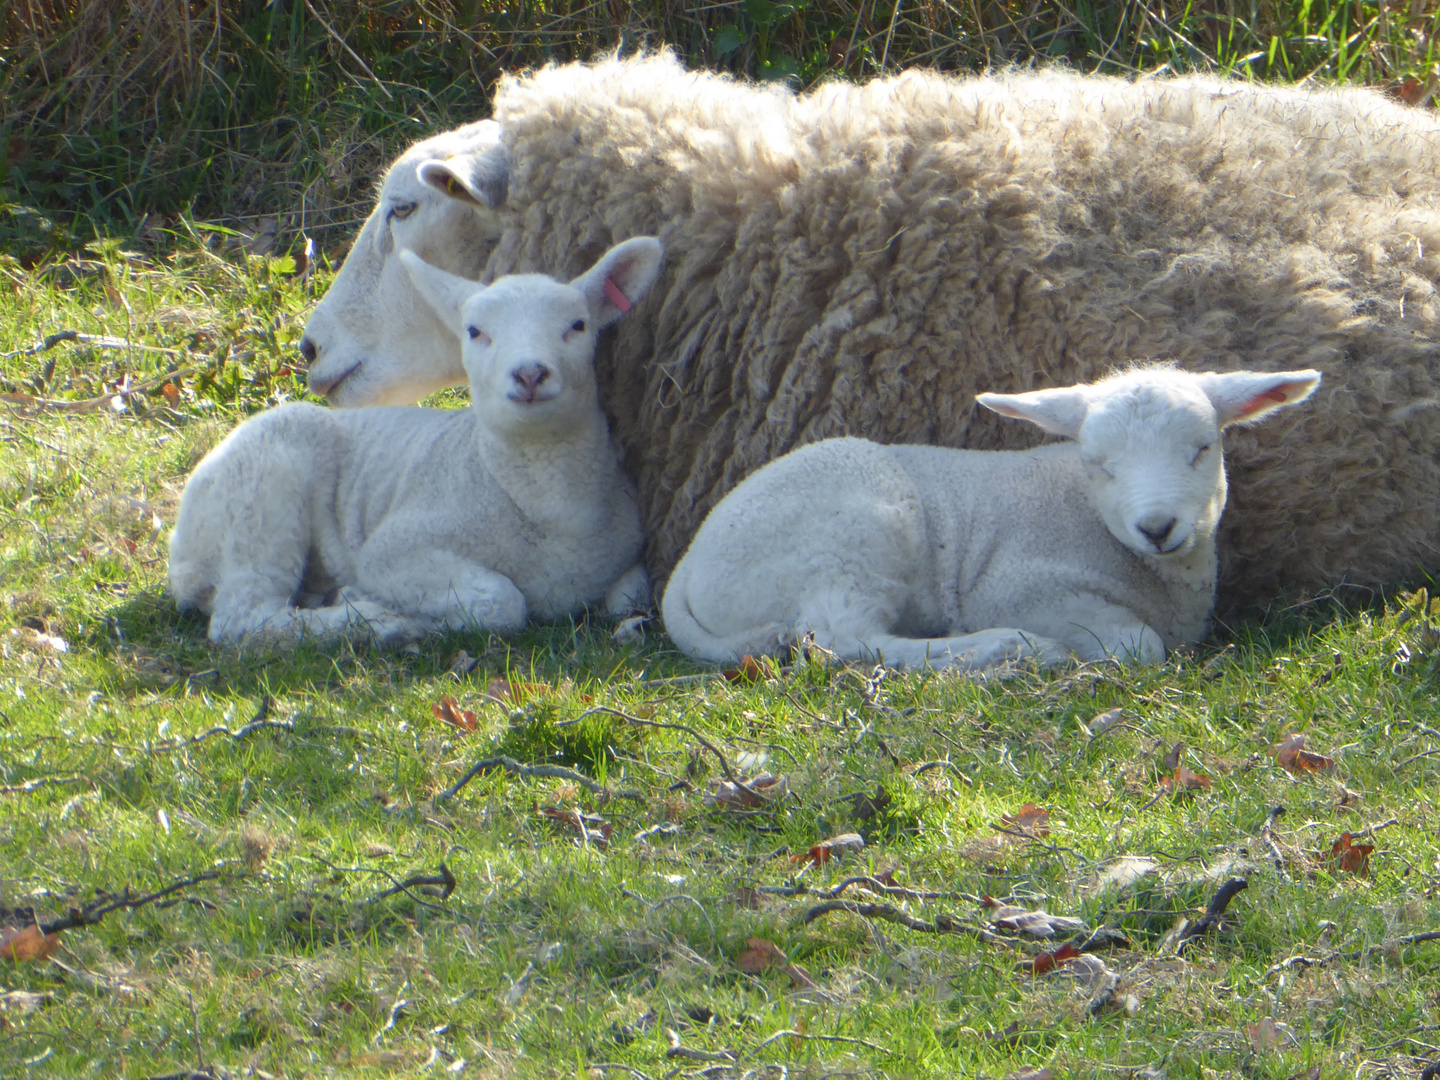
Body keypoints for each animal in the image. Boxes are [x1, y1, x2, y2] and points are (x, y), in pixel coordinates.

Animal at [169, 239, 662, 642]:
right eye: (475, 332)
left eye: (578, 325)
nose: (529, 374)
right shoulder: (394, 551)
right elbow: (502, 601)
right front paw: (408, 613)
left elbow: (632, 598)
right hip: (260, 497)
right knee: (244, 619)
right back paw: (378, 622)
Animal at [659, 365, 1319, 668]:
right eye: (1099, 464)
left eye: (1202, 448)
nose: (1157, 528)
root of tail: (687, 568)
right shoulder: (1017, 586)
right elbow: (1140, 645)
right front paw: (1071, 649)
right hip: (848, 539)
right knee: (845, 640)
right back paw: (1012, 650)